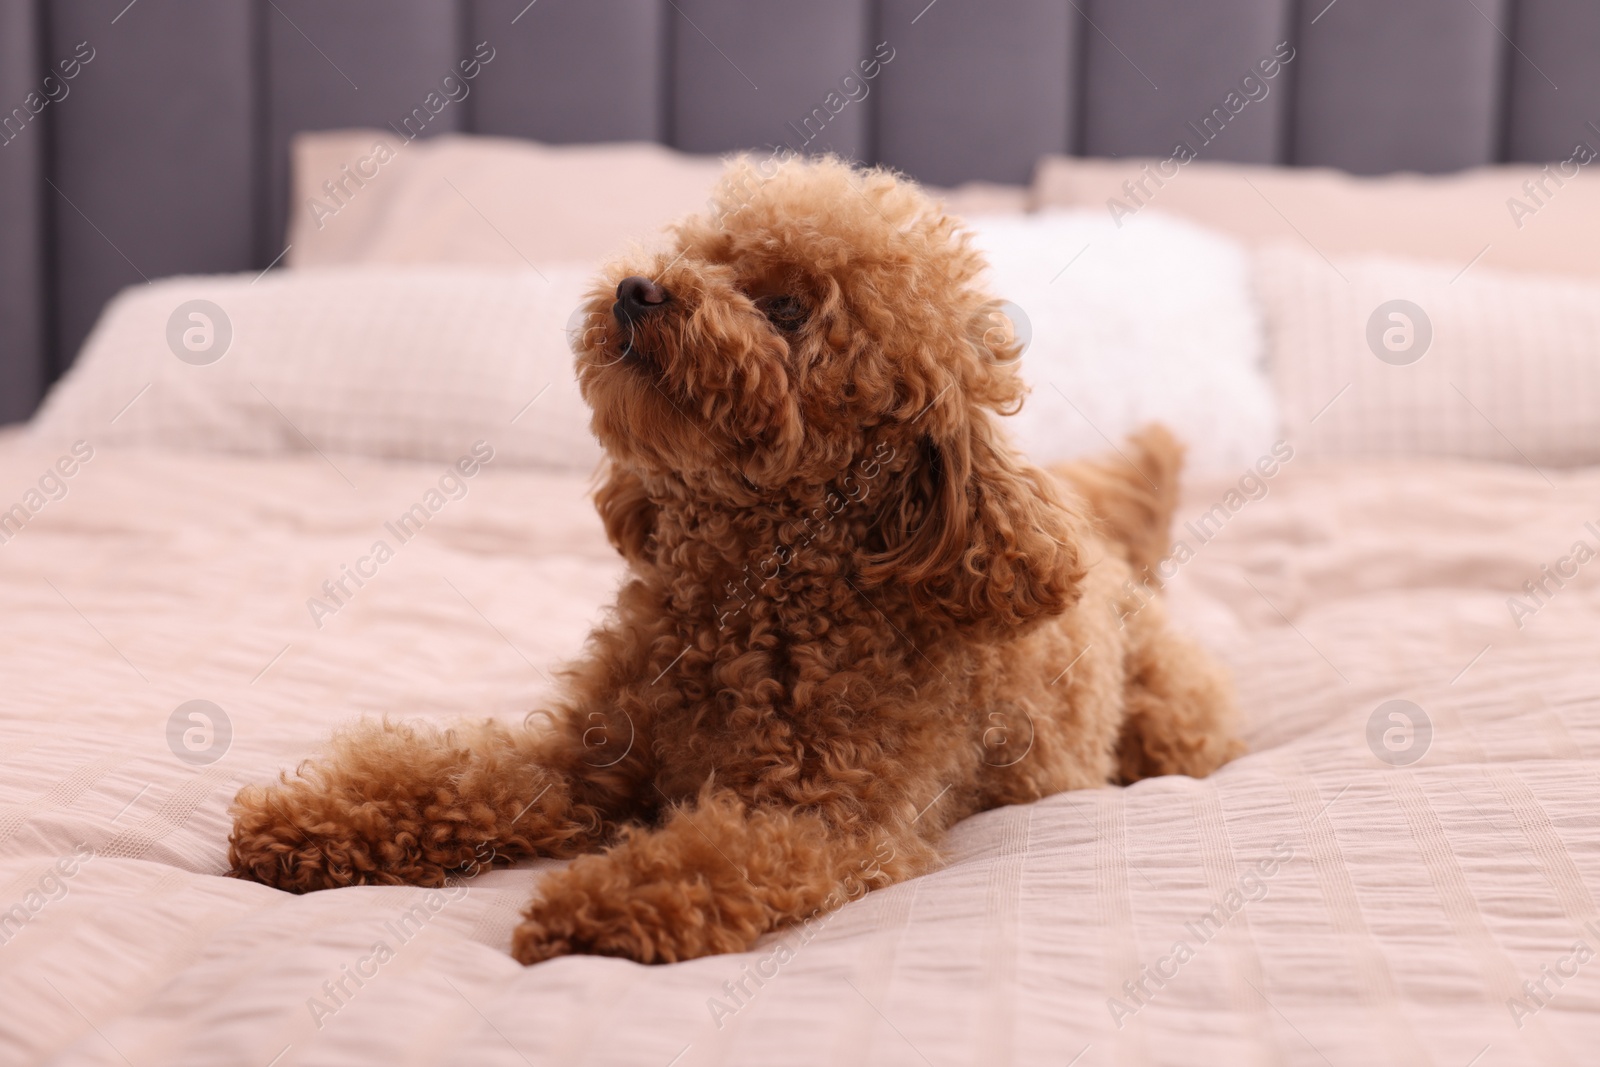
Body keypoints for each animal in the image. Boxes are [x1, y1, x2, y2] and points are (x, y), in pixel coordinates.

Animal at [232, 154, 1241, 966]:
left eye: (786, 309)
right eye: (707, 257)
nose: (638, 288)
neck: (746, 599)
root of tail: (1103, 542)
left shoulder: (831, 820)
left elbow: (716, 854)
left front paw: (601, 904)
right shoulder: (585, 755)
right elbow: (461, 775)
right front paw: (310, 822)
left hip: (1173, 719)